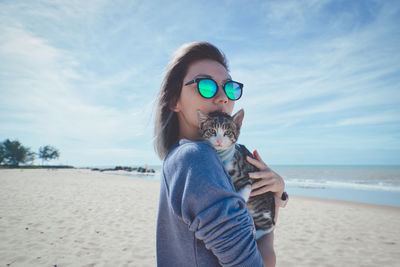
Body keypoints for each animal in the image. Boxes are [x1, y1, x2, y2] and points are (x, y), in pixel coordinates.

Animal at [199, 109, 276, 239]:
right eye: (212, 131)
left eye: (227, 132)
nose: (219, 141)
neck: (222, 156)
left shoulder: (247, 174)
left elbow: (245, 190)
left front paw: (241, 199)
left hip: (259, 211)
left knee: (270, 225)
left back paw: (257, 234)